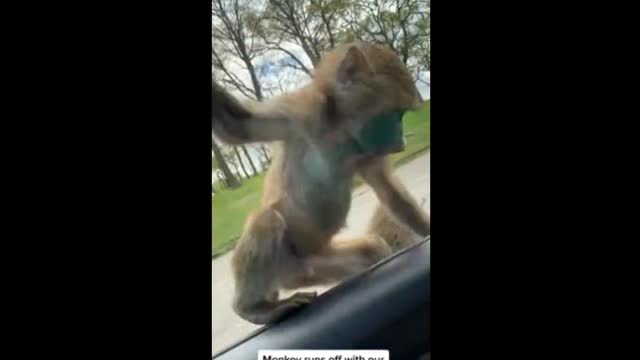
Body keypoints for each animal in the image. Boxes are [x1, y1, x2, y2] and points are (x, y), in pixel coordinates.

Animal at [214, 40, 430, 324]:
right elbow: (234, 123)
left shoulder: (366, 150)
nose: (401, 141)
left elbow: (389, 192)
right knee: (266, 219)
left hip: (313, 264)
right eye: (395, 115)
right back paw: (254, 308)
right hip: (283, 258)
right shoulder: (303, 110)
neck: (340, 130)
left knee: (371, 249)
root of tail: (289, 274)